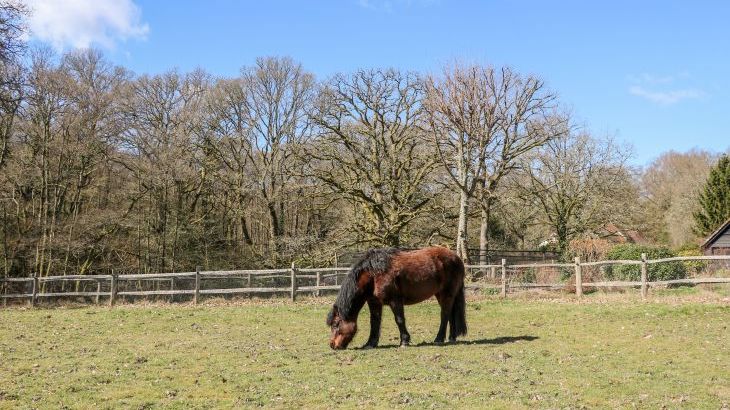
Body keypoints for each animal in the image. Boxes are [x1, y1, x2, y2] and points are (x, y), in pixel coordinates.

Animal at [326, 247, 466, 350]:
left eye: (336, 324)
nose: (332, 345)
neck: (374, 274)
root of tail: (457, 258)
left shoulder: (395, 301)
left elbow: (399, 320)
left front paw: (404, 341)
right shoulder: (374, 303)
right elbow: (374, 322)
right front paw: (370, 343)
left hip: (446, 294)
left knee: (445, 315)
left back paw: (439, 339)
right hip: (442, 294)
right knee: (451, 314)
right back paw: (452, 338)